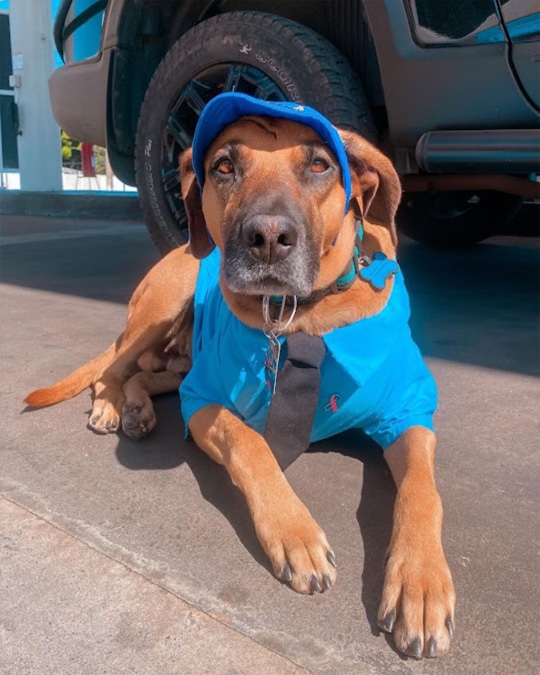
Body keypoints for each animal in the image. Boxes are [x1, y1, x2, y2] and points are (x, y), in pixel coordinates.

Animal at [26, 108, 456, 656]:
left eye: (320, 164)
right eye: (225, 166)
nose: (268, 238)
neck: (301, 318)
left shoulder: (409, 413)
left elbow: (422, 491)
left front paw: (421, 583)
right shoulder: (206, 401)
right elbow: (251, 445)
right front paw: (296, 534)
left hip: (179, 356)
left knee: (147, 373)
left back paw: (136, 409)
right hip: (165, 302)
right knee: (113, 368)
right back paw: (109, 405)